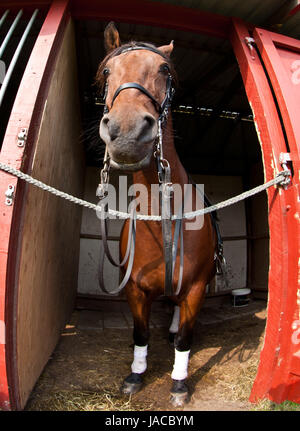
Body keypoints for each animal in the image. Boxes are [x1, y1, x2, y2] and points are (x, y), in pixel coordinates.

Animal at [96, 22, 218, 408]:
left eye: (164, 70)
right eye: (108, 72)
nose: (128, 132)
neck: (160, 216)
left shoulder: (195, 288)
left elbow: (185, 340)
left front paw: (179, 383)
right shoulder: (135, 291)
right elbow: (140, 334)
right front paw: (135, 375)